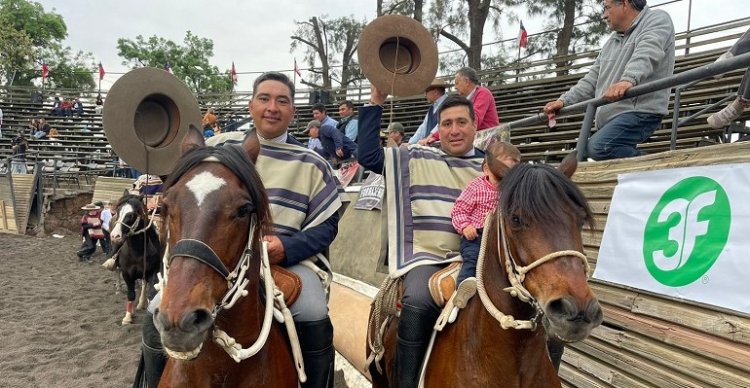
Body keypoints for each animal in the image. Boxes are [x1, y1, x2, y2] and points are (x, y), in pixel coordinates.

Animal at [108, 192, 161, 324]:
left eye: (131, 214)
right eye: (118, 210)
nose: (115, 236)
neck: (137, 252)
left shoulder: (152, 272)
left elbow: (149, 291)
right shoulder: (127, 274)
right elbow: (130, 294)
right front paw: (128, 316)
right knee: (117, 270)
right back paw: (118, 288)